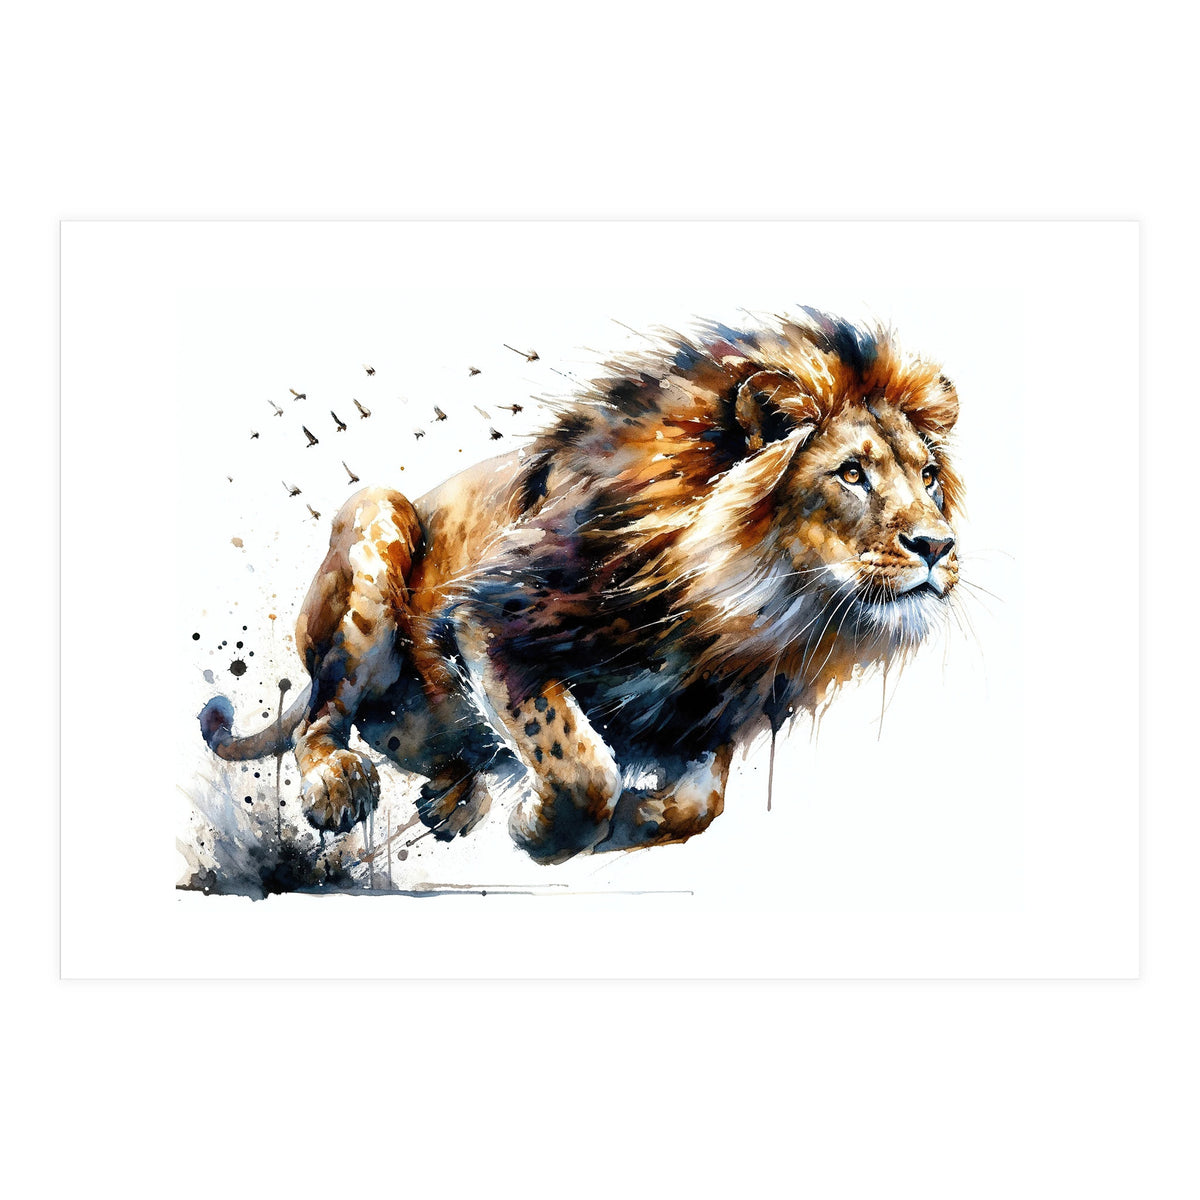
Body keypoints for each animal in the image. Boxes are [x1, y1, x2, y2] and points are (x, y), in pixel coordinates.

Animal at [200, 308, 963, 864]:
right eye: (851, 474)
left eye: (928, 476)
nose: (938, 546)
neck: (745, 609)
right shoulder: (489, 617)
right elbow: (577, 761)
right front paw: (543, 828)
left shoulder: (705, 704)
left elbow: (701, 805)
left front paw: (635, 817)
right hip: (377, 516)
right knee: (324, 716)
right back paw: (340, 785)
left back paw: (452, 798)